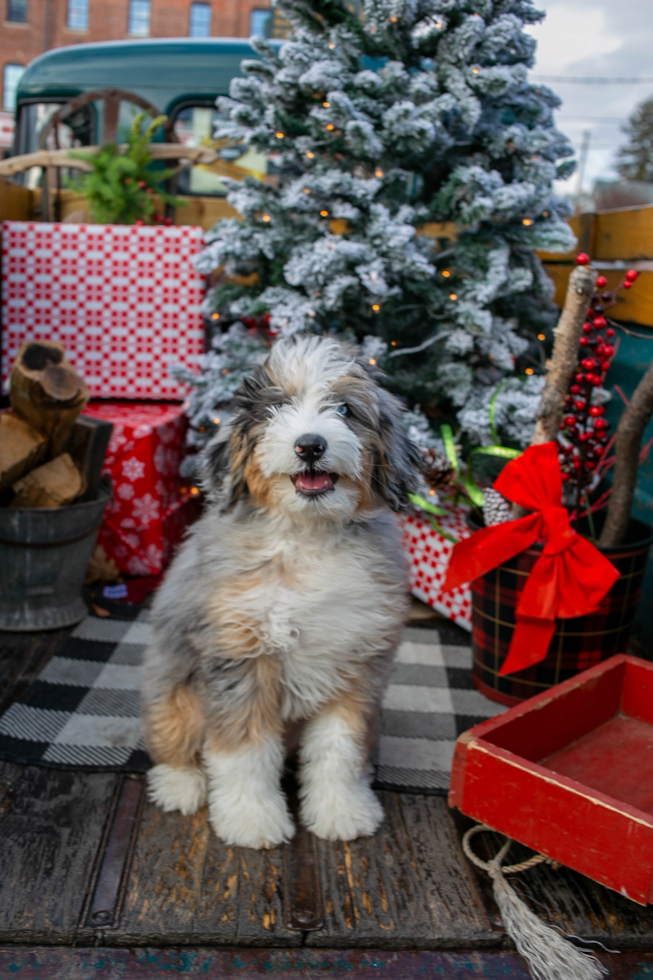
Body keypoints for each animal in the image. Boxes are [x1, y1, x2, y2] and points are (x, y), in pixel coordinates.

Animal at [140, 334, 420, 848]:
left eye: (345, 409)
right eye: (276, 409)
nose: (310, 444)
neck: (307, 537)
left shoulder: (357, 663)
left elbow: (339, 747)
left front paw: (341, 810)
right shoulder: (240, 658)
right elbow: (244, 753)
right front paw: (252, 819)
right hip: (172, 691)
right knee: (171, 743)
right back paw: (180, 786)